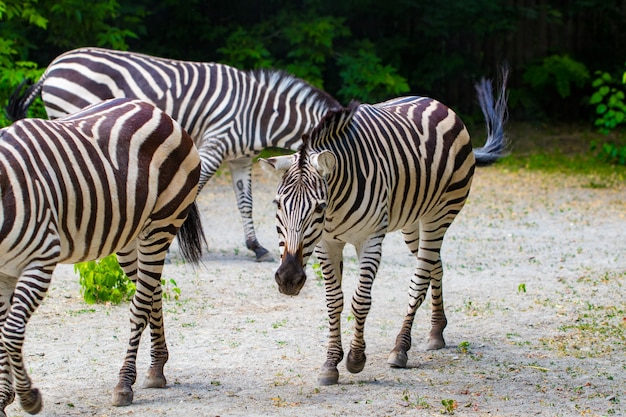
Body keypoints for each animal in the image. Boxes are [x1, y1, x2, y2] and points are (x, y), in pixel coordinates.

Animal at [0, 96, 205, 412]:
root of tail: (157, 111)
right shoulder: (3, 271)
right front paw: (3, 397)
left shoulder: (40, 260)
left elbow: (10, 332)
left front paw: (28, 397)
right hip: (128, 238)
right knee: (152, 291)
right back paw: (156, 368)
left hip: (161, 225)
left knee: (139, 305)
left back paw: (124, 384)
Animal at [8, 45, 342, 260]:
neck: (259, 112)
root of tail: (53, 67)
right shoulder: (215, 143)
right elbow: (197, 189)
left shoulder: (240, 159)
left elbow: (245, 203)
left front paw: (256, 246)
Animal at [258, 69, 508, 384]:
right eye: (277, 204)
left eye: (319, 207)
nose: (289, 279)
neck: (335, 202)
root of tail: (437, 103)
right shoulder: (327, 243)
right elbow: (334, 300)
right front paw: (330, 363)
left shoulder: (370, 240)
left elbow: (360, 300)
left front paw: (355, 359)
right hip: (412, 222)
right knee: (434, 267)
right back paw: (436, 331)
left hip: (439, 215)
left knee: (419, 278)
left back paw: (400, 349)